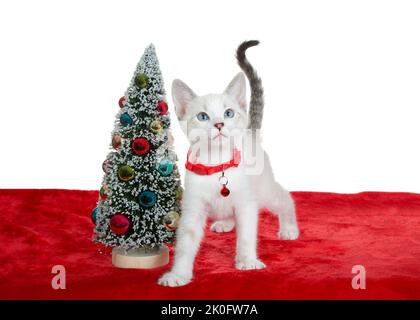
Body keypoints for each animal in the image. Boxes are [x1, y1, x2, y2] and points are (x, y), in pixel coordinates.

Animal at [158, 40, 298, 288]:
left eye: (229, 113)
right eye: (203, 116)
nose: (220, 124)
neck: (217, 166)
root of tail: (251, 133)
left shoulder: (247, 203)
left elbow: (246, 236)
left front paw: (247, 261)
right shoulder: (193, 207)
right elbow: (185, 244)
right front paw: (178, 275)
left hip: (265, 190)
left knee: (284, 198)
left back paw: (289, 227)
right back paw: (225, 223)